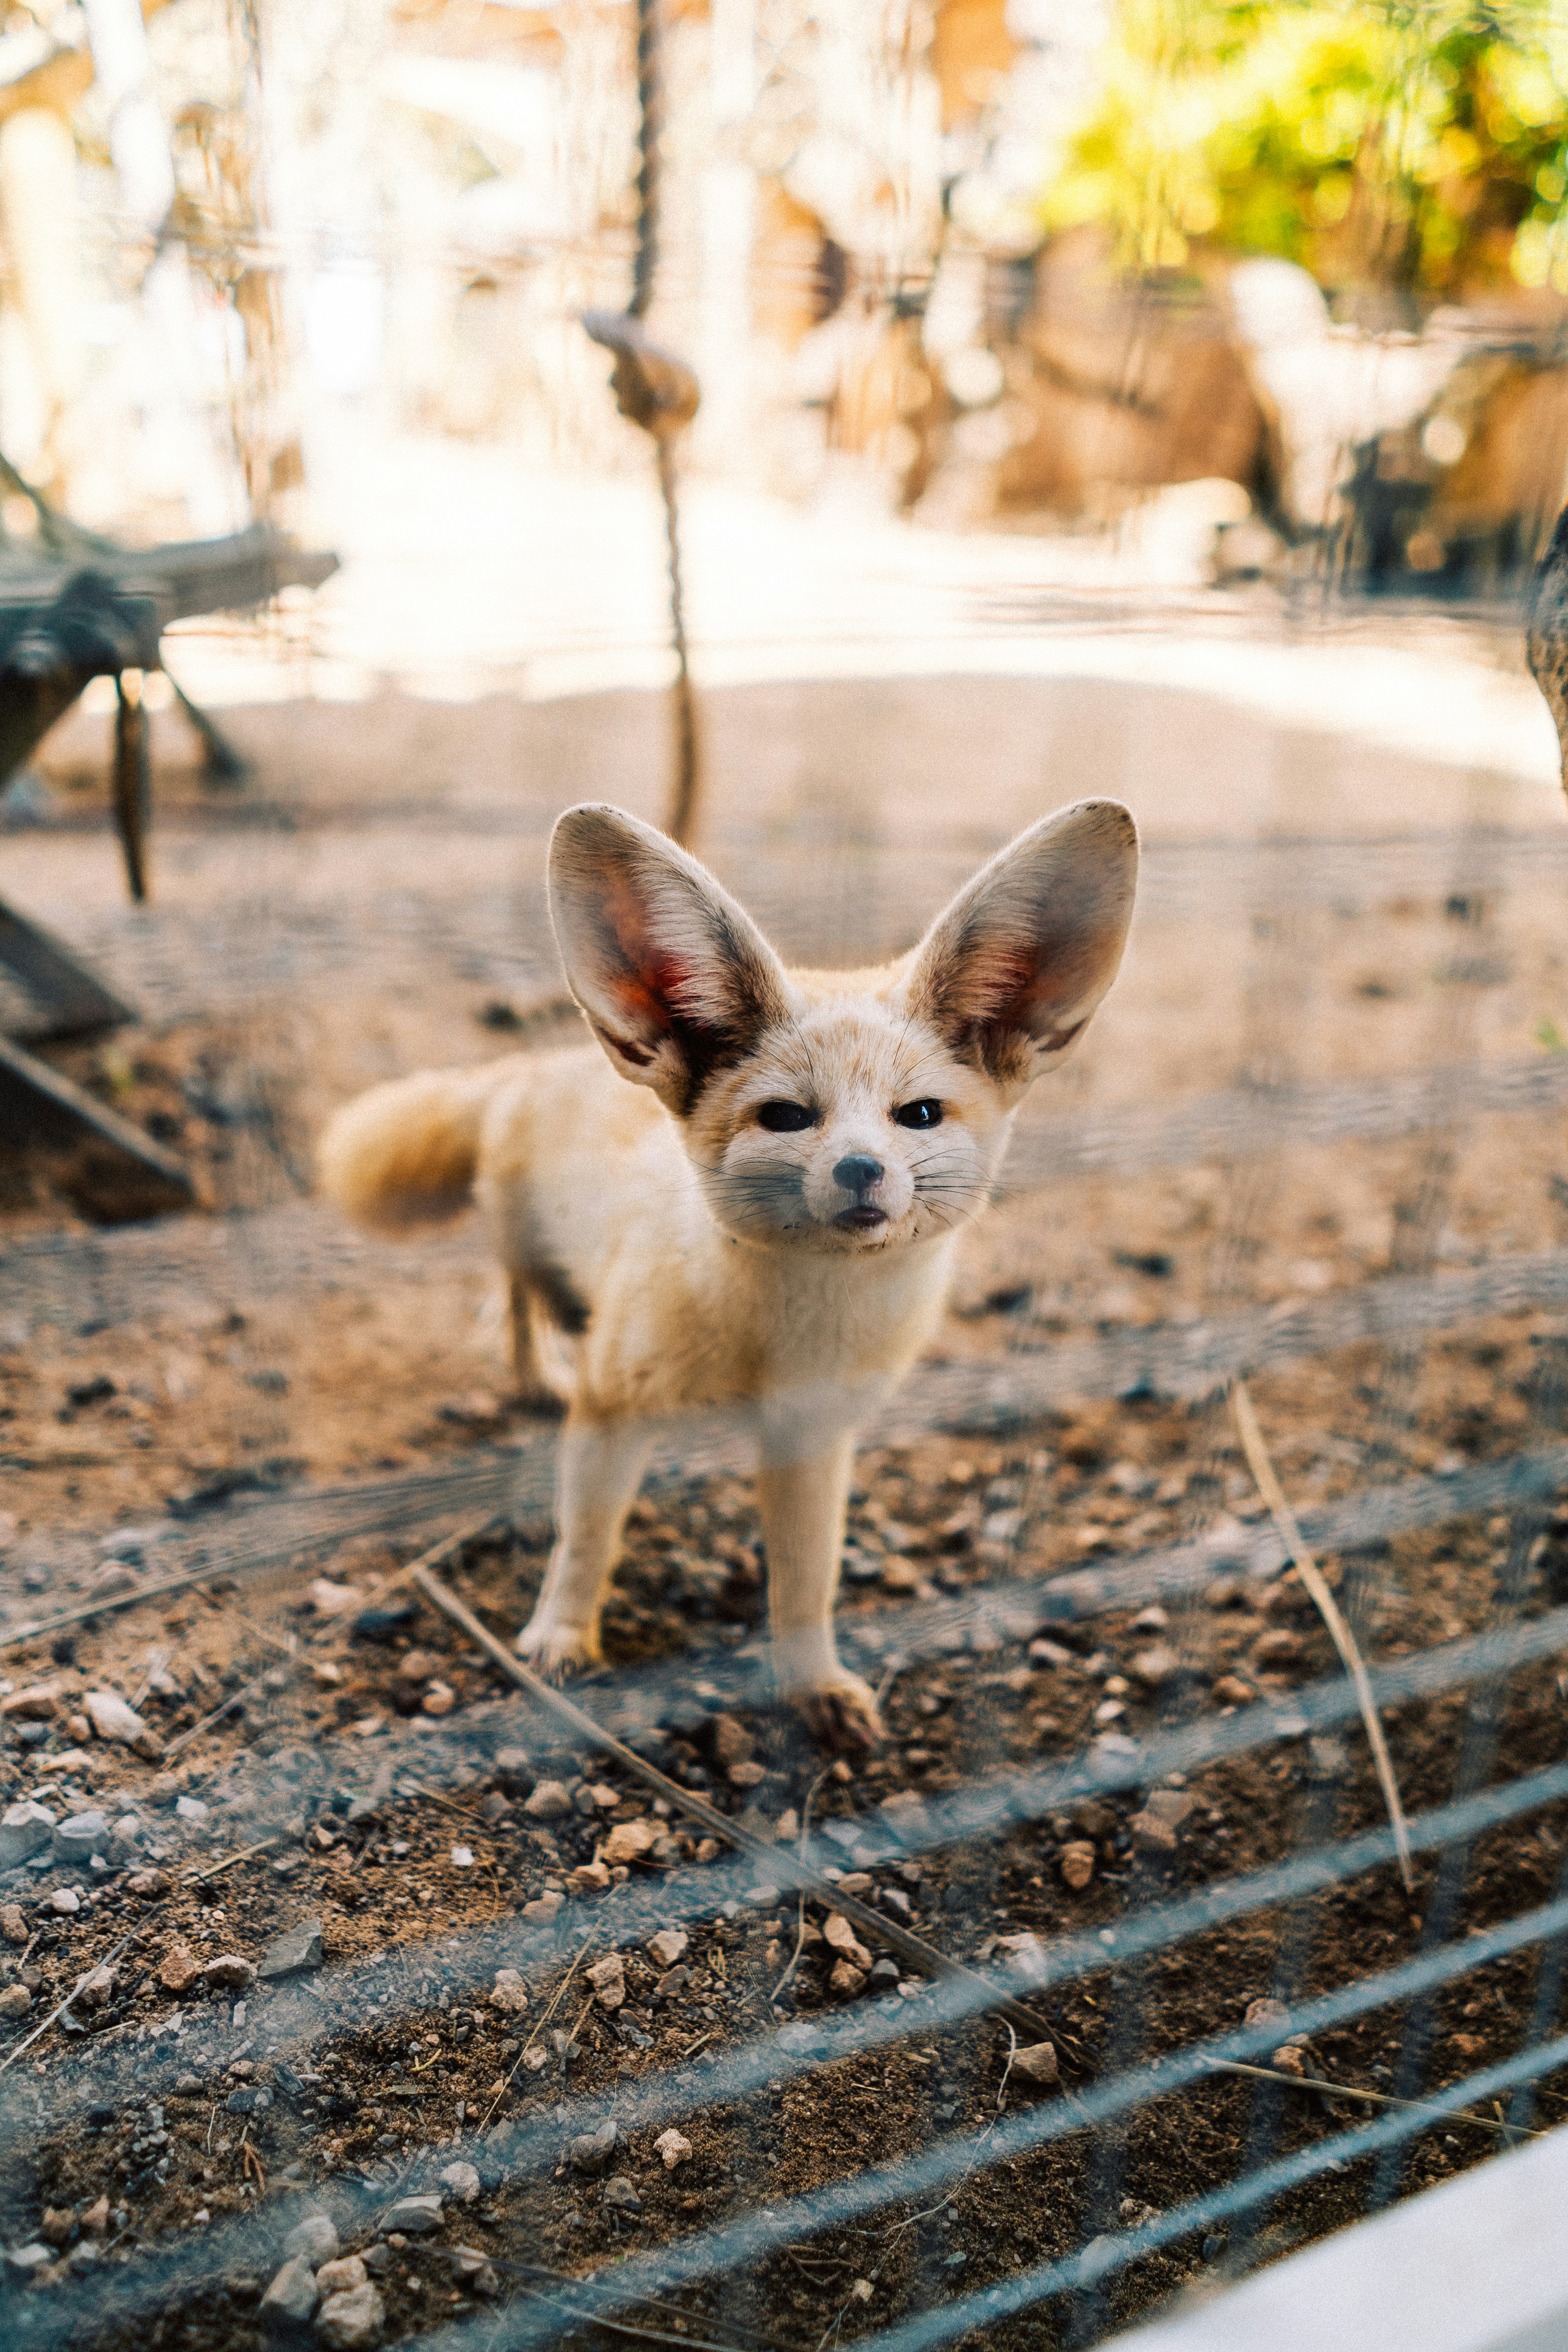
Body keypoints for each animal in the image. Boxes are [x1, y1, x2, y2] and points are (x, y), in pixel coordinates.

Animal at [317, 797, 1138, 1749]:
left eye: (919, 1115)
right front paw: (560, 1637)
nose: (861, 1169)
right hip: (532, 1254)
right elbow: (584, 1542)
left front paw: (815, 1684)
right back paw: (536, 1371)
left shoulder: (813, 1437)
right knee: (519, 1296)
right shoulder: (614, 1410)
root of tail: (540, 1063)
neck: (780, 1340)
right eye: (785, 1117)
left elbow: (808, 1581)